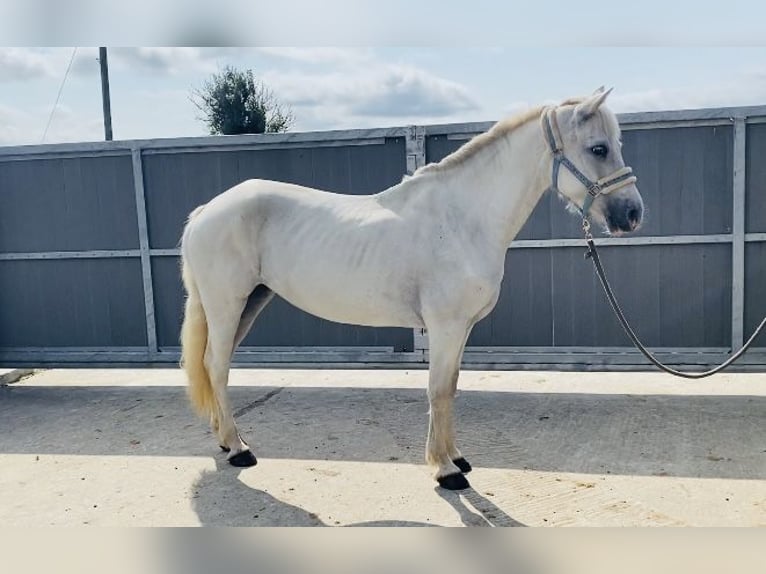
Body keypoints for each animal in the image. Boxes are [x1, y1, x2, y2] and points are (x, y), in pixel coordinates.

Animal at [178, 89, 640, 490]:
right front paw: (445, 471)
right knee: (216, 365)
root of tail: (206, 211)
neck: (461, 218)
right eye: (599, 148)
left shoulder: (461, 329)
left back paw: (227, 441)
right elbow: (437, 389)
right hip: (227, 305)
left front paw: (456, 458)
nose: (632, 214)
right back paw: (239, 450)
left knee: (213, 365)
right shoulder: (445, 326)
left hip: (250, 303)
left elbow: (450, 387)